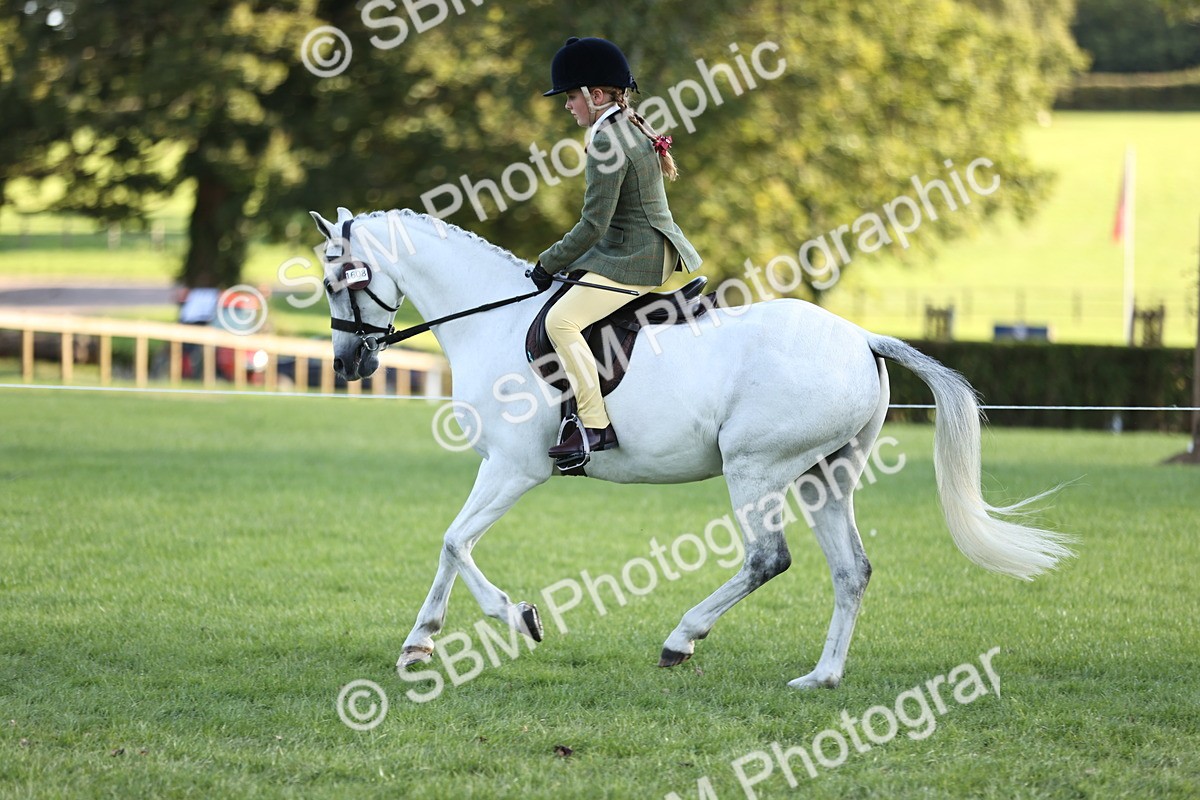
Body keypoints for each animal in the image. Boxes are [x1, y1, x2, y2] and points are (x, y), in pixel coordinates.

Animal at [309, 206, 1073, 689]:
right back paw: (821, 677)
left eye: (336, 279)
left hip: (755, 468)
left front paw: (517, 617)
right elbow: (450, 543)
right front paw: (420, 642)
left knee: (768, 558)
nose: (348, 364)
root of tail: (861, 337)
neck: (490, 321)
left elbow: (455, 541)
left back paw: (682, 639)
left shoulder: (517, 468)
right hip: (825, 476)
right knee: (850, 570)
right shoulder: (497, 468)